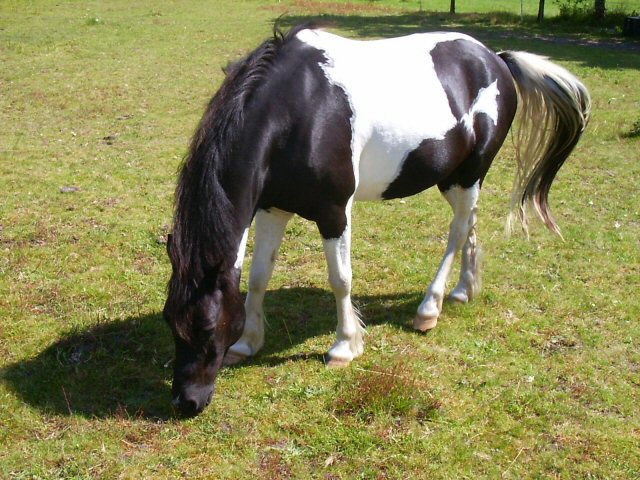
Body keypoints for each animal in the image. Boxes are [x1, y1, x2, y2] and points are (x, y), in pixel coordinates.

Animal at [164, 23, 592, 416]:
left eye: (207, 327)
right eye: (170, 319)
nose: (187, 401)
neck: (301, 108)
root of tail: (495, 59)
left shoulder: (335, 212)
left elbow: (340, 279)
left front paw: (344, 347)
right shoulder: (273, 207)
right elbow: (258, 276)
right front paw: (248, 342)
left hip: (469, 174)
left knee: (457, 232)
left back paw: (429, 310)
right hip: (454, 178)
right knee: (470, 223)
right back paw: (463, 291)